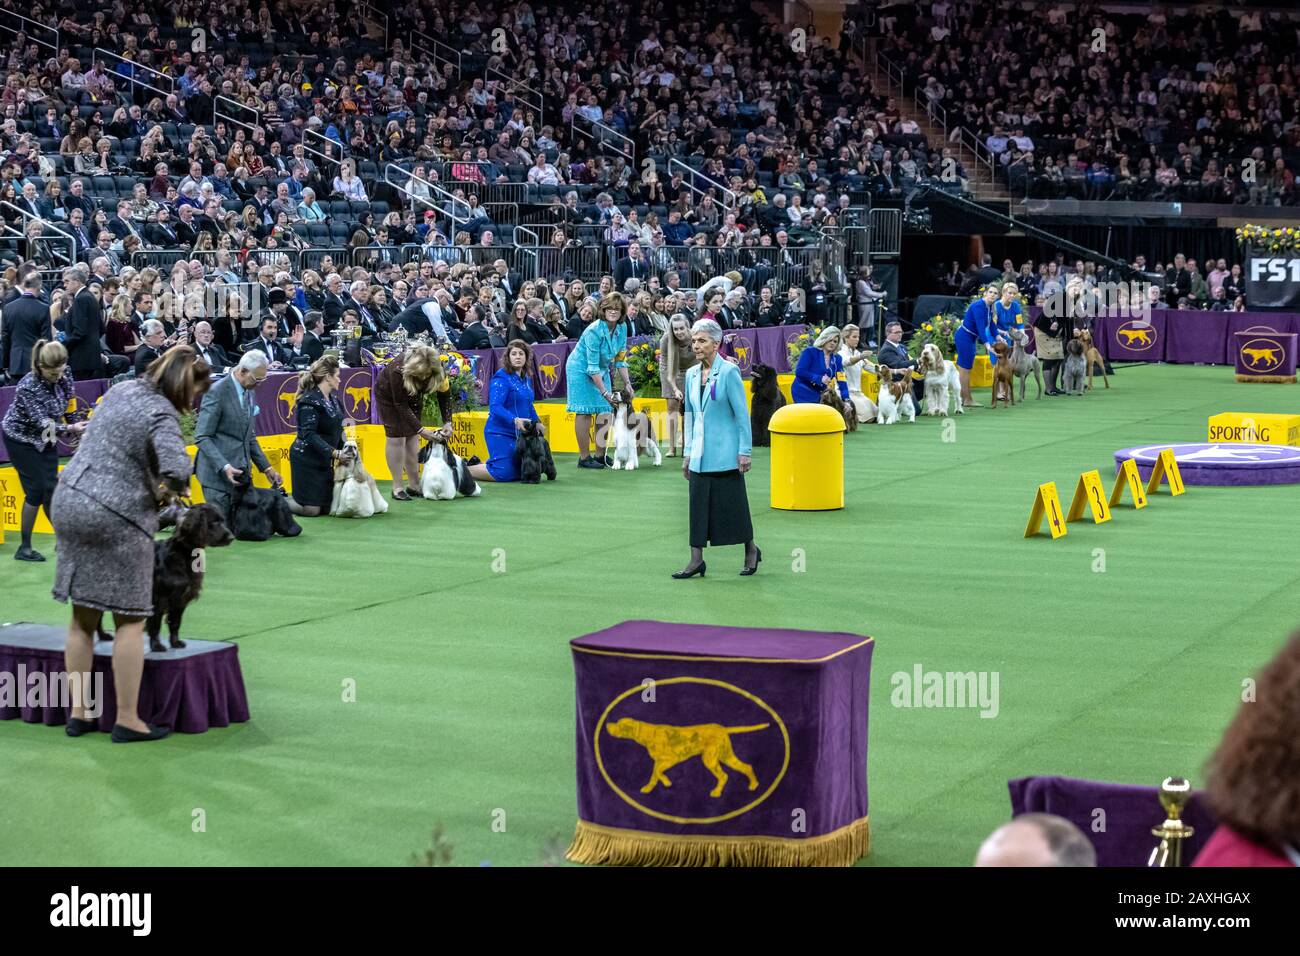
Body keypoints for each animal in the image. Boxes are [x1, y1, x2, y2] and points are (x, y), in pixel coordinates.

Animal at [96, 504, 233, 655]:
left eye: (222, 520)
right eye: (214, 522)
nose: (231, 537)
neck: (182, 554)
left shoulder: (180, 599)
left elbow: (175, 623)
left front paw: (176, 642)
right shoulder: (159, 597)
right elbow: (155, 624)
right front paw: (156, 646)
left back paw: (103, 635)